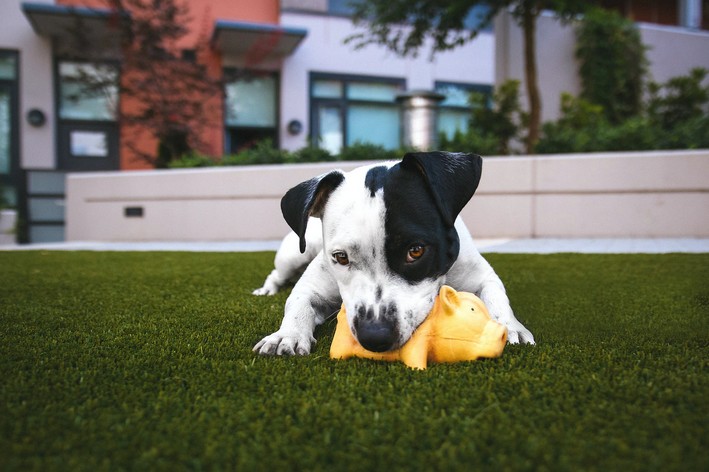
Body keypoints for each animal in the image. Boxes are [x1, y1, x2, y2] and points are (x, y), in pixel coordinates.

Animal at [252, 151, 532, 354]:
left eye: (416, 251)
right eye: (341, 257)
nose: (374, 336)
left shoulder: (481, 276)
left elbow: (497, 297)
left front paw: (510, 326)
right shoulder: (312, 286)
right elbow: (298, 303)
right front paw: (286, 335)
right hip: (295, 253)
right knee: (277, 274)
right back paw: (266, 290)